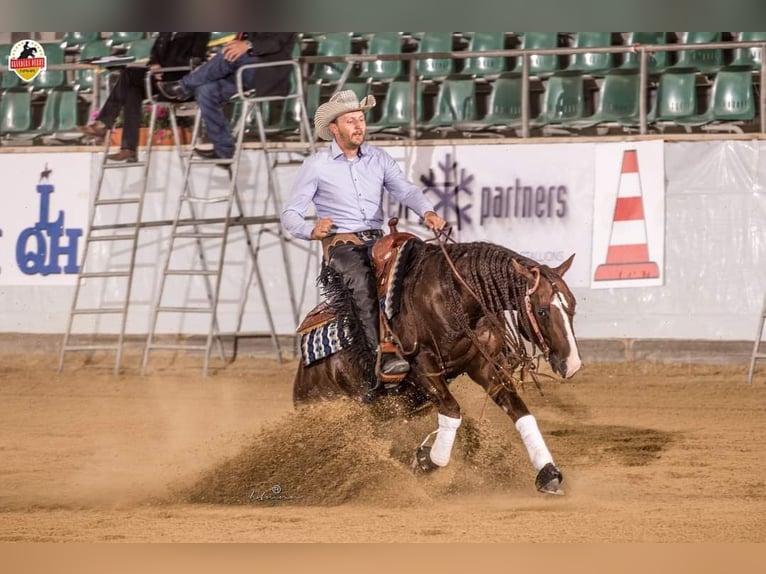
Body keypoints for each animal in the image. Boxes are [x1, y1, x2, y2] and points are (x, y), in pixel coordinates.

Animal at [294, 236, 584, 498]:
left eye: (572, 306)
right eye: (542, 311)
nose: (572, 365)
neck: (452, 297)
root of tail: (302, 374)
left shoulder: (483, 366)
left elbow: (519, 411)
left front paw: (548, 473)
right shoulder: (422, 367)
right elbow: (452, 411)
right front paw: (426, 460)